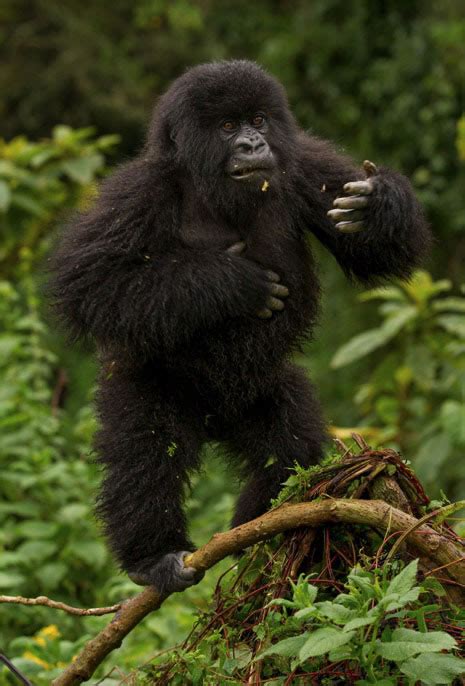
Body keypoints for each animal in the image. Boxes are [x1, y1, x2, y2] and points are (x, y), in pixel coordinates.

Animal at [49, 60, 430, 596]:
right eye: (228, 127)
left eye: (258, 120)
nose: (252, 144)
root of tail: (213, 420)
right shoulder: (139, 191)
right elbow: (90, 282)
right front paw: (228, 282)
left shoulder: (305, 163)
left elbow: (379, 250)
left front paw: (378, 208)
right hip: (149, 385)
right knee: (144, 451)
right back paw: (153, 554)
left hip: (261, 388)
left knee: (289, 446)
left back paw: (263, 521)